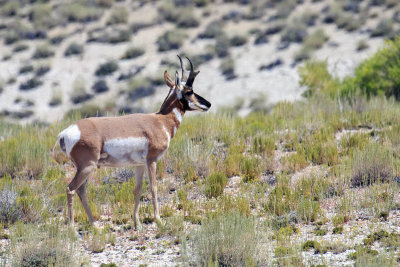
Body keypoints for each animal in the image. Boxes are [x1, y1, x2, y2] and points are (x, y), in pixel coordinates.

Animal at [57, 56, 212, 228]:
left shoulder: (139, 165)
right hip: (87, 167)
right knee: (70, 189)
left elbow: (137, 189)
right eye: (189, 91)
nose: (208, 104)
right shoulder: (151, 160)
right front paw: (158, 220)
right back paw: (72, 229)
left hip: (85, 168)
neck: (160, 120)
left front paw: (136, 222)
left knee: (80, 191)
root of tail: (67, 132)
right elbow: (153, 187)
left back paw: (96, 227)